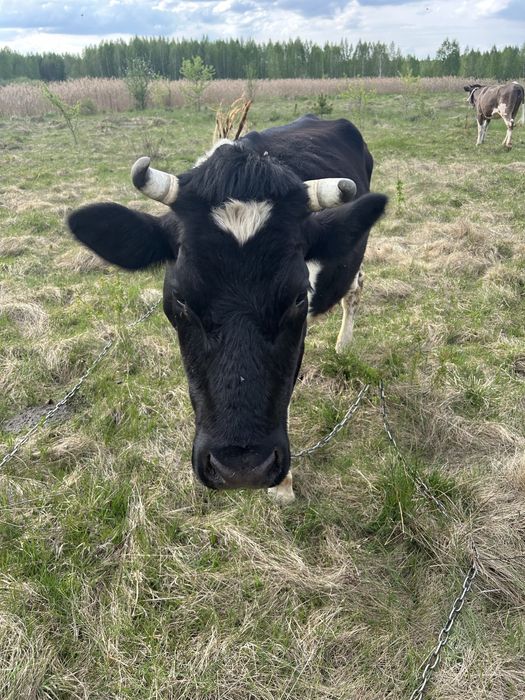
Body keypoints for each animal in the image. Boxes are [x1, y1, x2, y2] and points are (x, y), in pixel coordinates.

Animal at [68, 115, 387, 503]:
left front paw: (283, 484)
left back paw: (343, 346)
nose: (241, 470)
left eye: (299, 297)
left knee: (354, 291)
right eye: (181, 298)